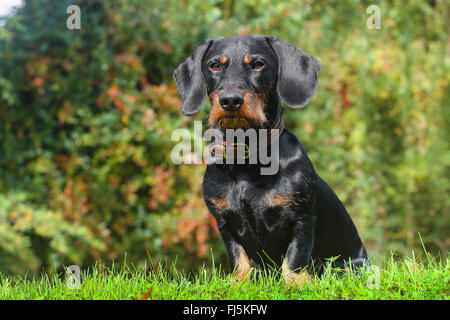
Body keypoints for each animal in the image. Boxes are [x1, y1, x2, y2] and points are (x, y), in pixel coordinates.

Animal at [173, 35, 370, 284]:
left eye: (258, 64)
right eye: (214, 65)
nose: (230, 100)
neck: (248, 161)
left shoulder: (302, 217)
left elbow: (295, 257)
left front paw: (296, 283)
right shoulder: (224, 222)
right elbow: (239, 258)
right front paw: (239, 282)